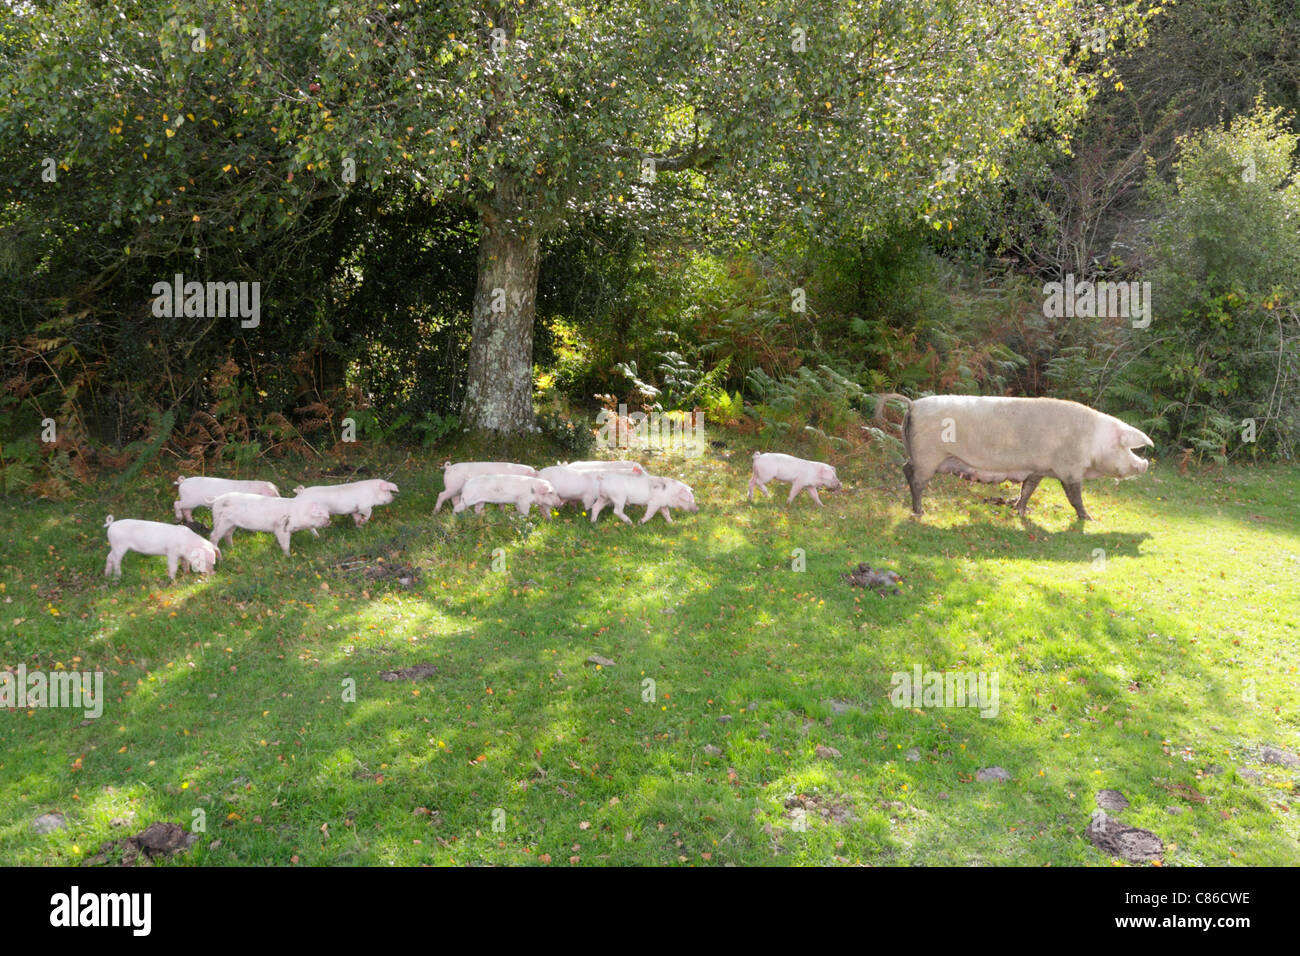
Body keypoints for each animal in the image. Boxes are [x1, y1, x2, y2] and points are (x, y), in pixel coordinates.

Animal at [889, 395, 1154, 520]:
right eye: (1126, 447)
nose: (1145, 465)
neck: (1094, 441)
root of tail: (913, 405)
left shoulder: (1038, 468)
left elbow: (1028, 489)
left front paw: (1020, 511)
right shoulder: (1070, 469)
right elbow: (1075, 497)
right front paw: (1089, 519)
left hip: (920, 455)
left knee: (905, 468)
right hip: (928, 456)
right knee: (915, 479)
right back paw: (920, 512)